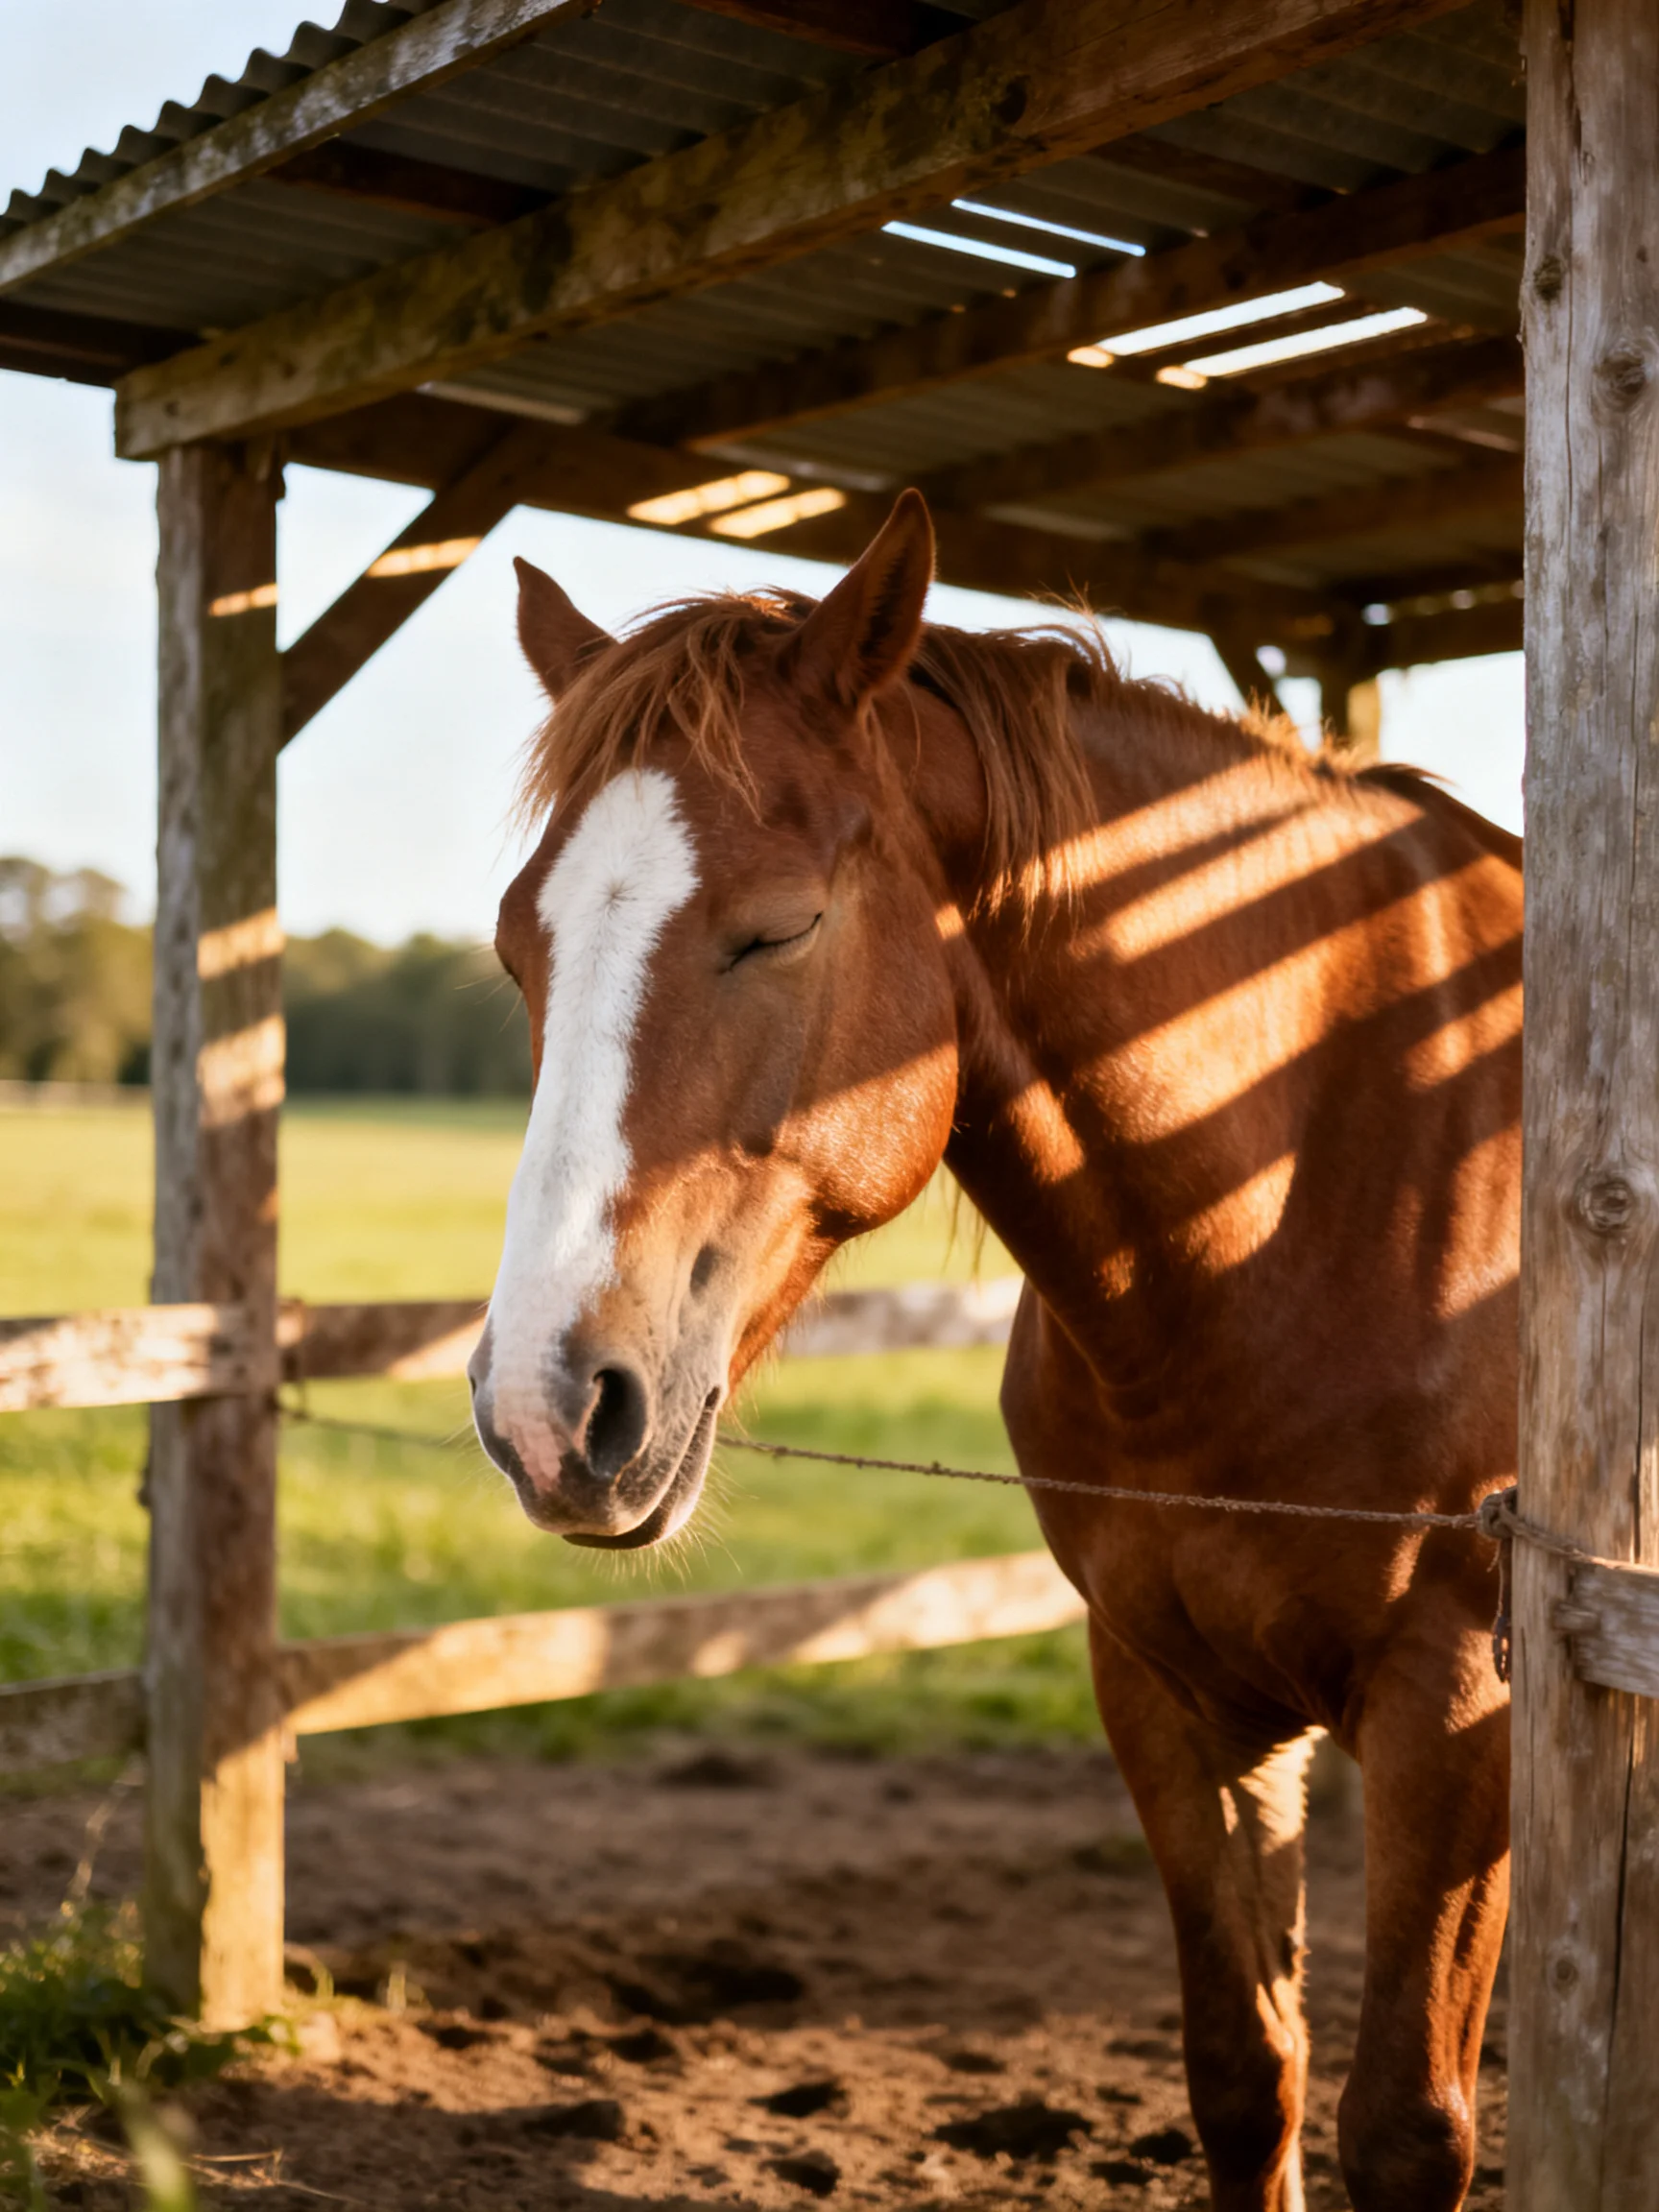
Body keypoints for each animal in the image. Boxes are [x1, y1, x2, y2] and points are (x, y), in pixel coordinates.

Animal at [468, 490, 1520, 2212]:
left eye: (778, 928)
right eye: (518, 949)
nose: (546, 1410)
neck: (1317, 1176)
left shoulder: (1457, 1709)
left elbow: (1405, 2127)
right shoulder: (1162, 1684)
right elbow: (1247, 2074)